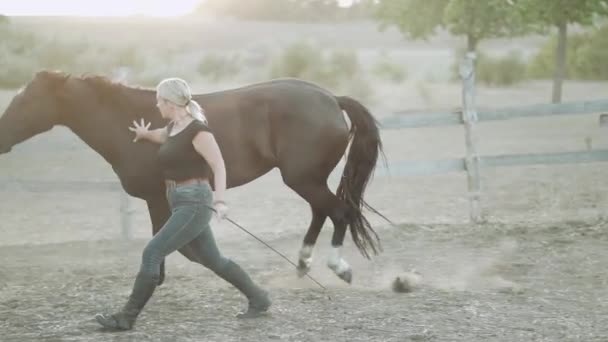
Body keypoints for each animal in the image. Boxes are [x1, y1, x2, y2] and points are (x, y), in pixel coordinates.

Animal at [0, 71, 388, 286]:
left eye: (27, 100)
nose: (1, 137)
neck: (125, 123)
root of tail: (331, 99)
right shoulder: (161, 200)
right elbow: (175, 247)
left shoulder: (157, 198)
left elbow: (170, 246)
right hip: (307, 180)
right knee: (323, 212)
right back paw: (303, 266)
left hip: (303, 179)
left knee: (339, 213)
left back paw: (338, 269)